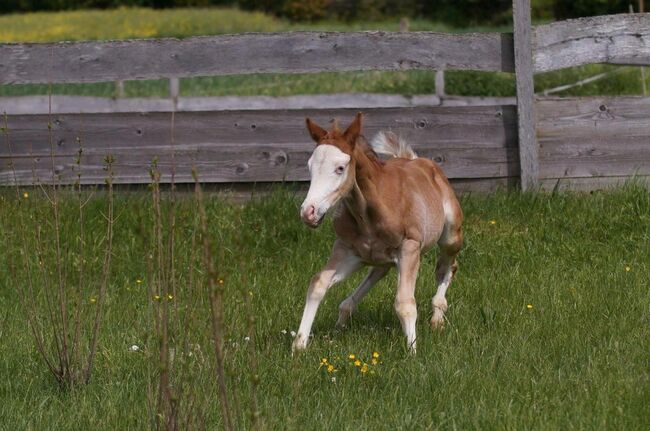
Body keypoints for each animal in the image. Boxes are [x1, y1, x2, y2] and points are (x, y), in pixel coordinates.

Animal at [292, 115, 464, 354]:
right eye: (309, 166)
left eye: (340, 168)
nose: (308, 212)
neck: (369, 213)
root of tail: (417, 160)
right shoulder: (345, 248)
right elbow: (318, 283)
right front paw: (299, 345)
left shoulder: (409, 248)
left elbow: (404, 303)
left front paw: (412, 352)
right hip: (374, 258)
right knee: (377, 272)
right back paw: (341, 322)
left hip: (450, 236)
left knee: (447, 267)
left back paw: (437, 317)